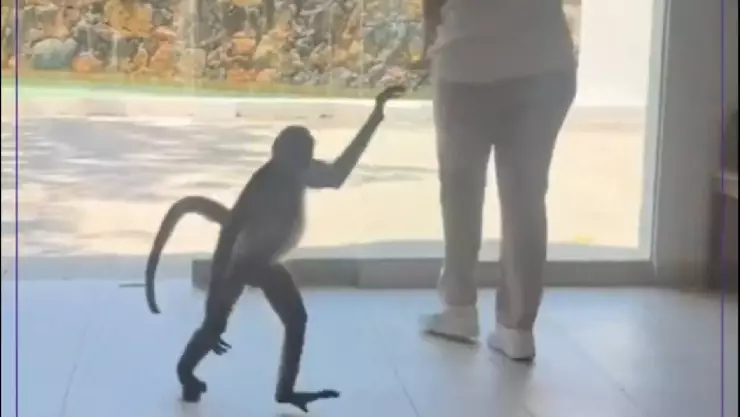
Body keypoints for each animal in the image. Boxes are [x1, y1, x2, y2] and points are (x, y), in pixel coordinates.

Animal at [145, 85, 406, 413]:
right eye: (303, 143)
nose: (309, 150)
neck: (285, 173)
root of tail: (253, 272)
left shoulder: (302, 173)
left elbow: (334, 177)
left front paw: (382, 103)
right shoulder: (263, 181)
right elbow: (231, 230)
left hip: (269, 271)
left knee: (295, 319)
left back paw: (285, 394)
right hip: (237, 267)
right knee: (216, 319)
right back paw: (187, 370)